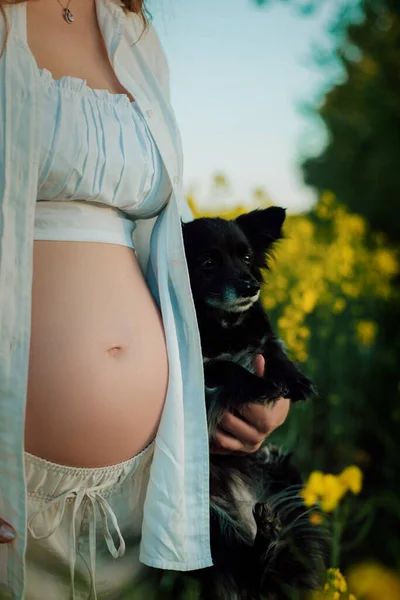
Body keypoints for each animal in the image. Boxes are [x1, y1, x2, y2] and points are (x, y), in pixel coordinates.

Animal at [181, 207, 328, 600]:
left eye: (246, 257)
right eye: (208, 263)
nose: (250, 286)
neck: (220, 324)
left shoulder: (260, 339)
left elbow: (271, 350)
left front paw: (294, 380)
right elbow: (227, 366)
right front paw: (261, 385)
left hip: (284, 475)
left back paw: (269, 531)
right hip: (206, 521)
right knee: (248, 565)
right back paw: (262, 541)